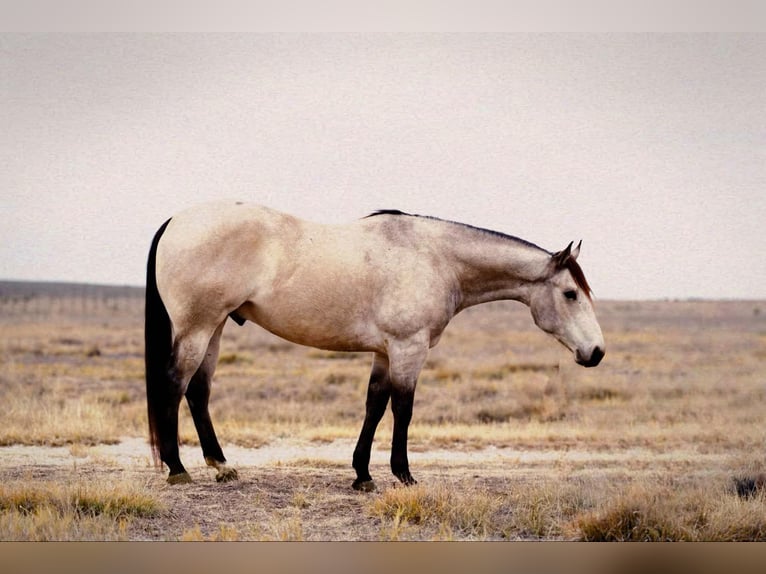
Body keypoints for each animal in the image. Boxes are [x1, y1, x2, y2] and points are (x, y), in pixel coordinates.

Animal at [145, 200, 605, 489]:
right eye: (570, 294)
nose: (596, 352)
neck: (436, 258)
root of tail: (176, 220)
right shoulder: (408, 349)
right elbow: (403, 409)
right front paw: (403, 475)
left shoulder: (385, 352)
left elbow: (374, 405)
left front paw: (362, 475)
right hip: (198, 328)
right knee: (174, 385)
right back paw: (177, 469)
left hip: (215, 328)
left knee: (198, 391)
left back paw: (221, 466)